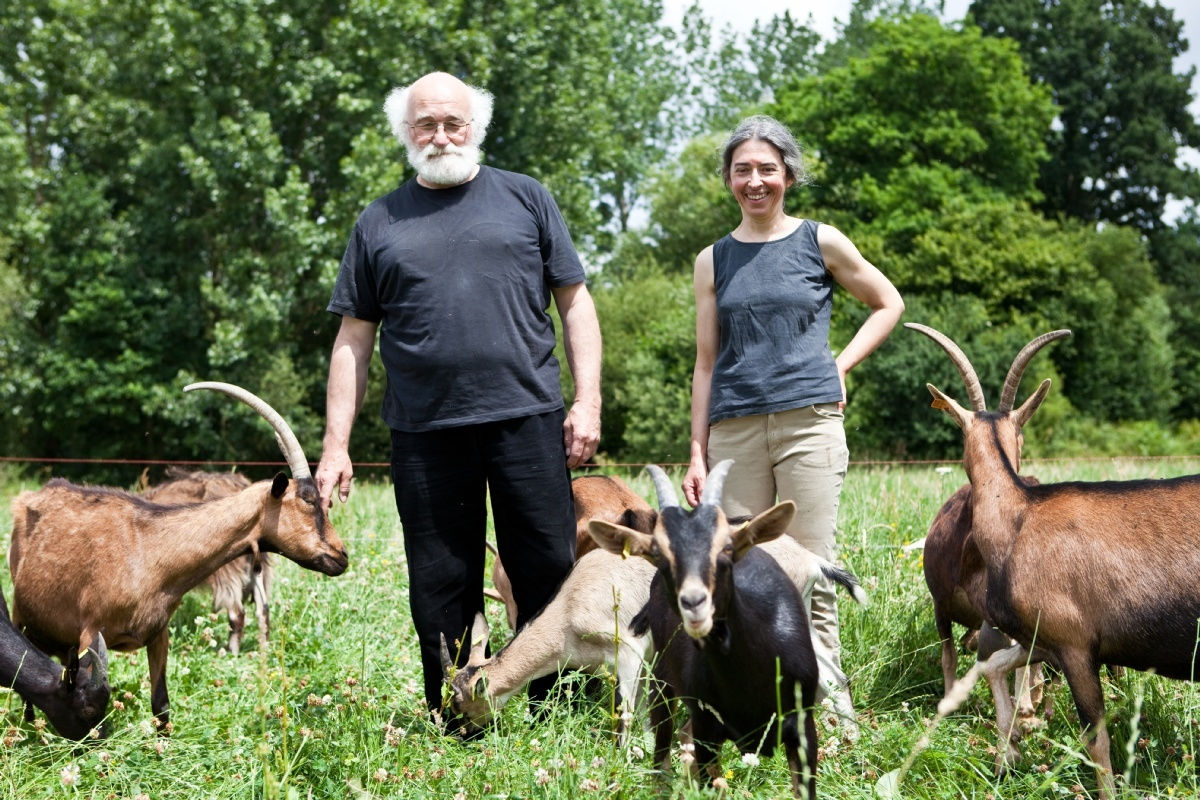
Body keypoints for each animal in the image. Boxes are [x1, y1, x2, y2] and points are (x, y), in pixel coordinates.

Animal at [139, 465, 271, 652]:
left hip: (227, 569)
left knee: (237, 612)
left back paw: (231, 652)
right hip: (258, 564)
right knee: (263, 608)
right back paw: (264, 648)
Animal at [588, 460, 820, 796]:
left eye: (727, 548)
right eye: (658, 554)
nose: (694, 603)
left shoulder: (803, 728)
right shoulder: (707, 729)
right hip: (663, 681)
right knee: (663, 746)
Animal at [902, 321, 1200, 796]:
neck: (1020, 513)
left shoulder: (1075, 644)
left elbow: (1096, 739)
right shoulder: (1043, 637)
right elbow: (993, 664)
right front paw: (1011, 746)